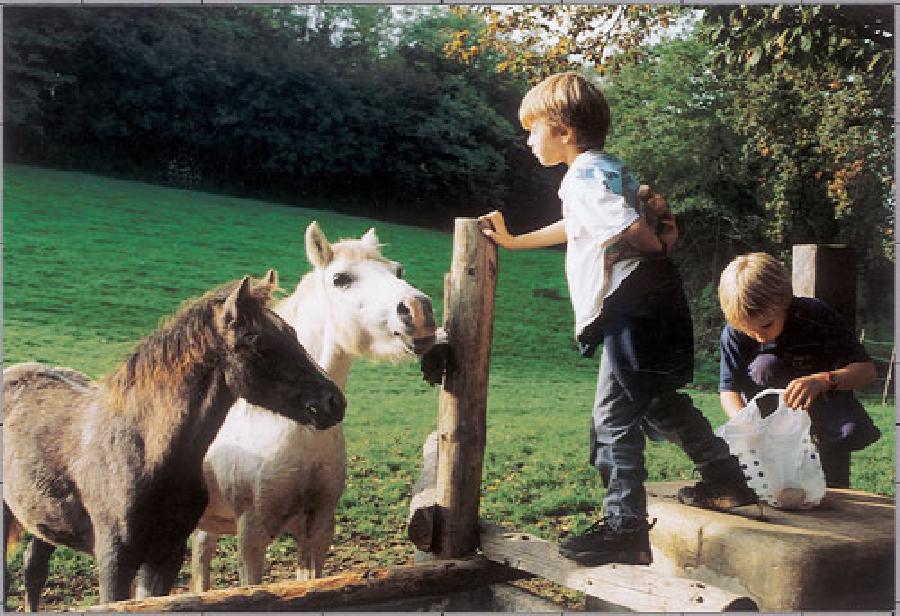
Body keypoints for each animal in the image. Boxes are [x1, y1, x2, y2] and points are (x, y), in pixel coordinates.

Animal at [1, 272, 346, 608]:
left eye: (292, 333)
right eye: (256, 341)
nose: (334, 402)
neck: (145, 451)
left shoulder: (166, 557)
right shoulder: (114, 561)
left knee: (34, 569)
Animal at [192, 223, 438, 592]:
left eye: (398, 270)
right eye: (340, 278)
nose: (419, 311)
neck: (295, 428)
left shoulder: (318, 529)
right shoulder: (251, 536)